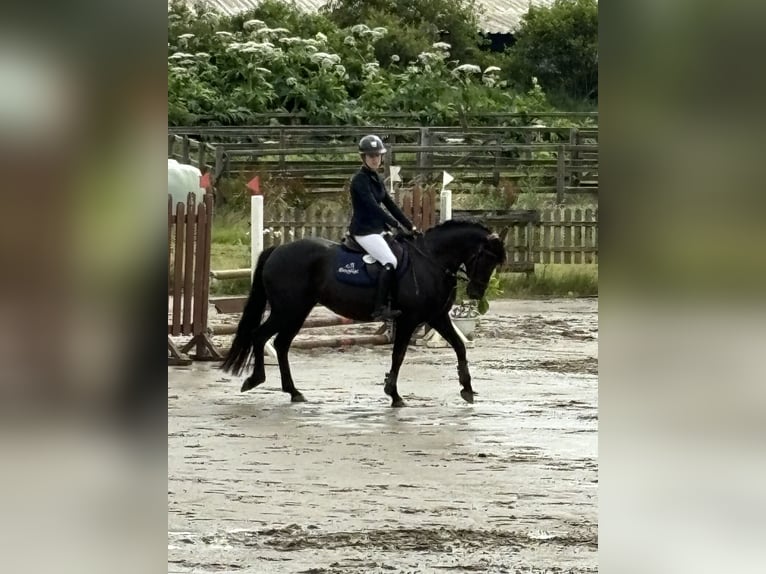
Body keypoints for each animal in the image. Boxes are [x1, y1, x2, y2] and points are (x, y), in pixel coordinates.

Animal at [220, 218, 510, 408]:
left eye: (495, 262)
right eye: (484, 257)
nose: (475, 293)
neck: (431, 260)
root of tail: (277, 250)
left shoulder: (436, 317)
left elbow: (460, 347)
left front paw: (467, 389)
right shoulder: (409, 319)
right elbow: (398, 355)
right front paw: (394, 394)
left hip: (298, 311)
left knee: (280, 343)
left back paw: (293, 392)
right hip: (287, 309)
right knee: (260, 336)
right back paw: (255, 380)